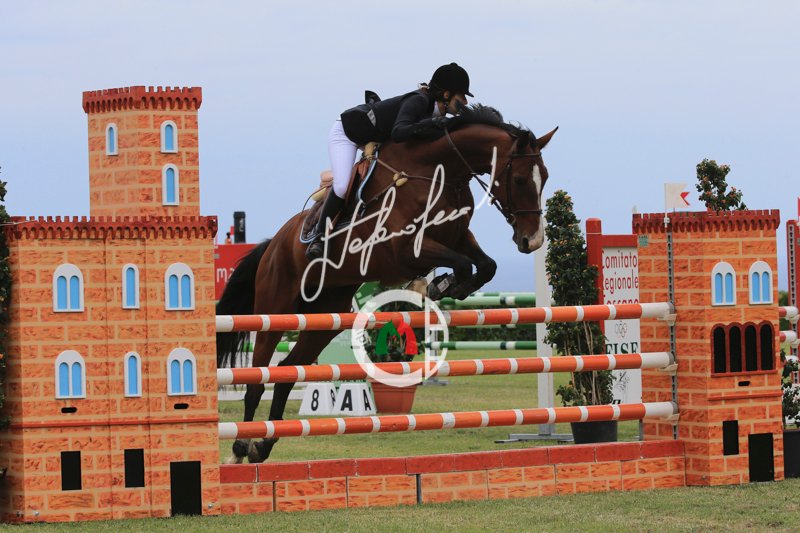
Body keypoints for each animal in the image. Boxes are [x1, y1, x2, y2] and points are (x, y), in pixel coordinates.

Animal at [217, 105, 557, 463]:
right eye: (519, 179)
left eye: (545, 178)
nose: (532, 241)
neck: (439, 174)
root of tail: (273, 243)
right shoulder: (406, 250)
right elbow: (463, 263)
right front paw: (439, 286)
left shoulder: (457, 237)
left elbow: (486, 265)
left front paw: (447, 286)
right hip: (275, 309)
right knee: (258, 378)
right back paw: (239, 449)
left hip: (325, 318)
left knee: (286, 372)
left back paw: (263, 446)